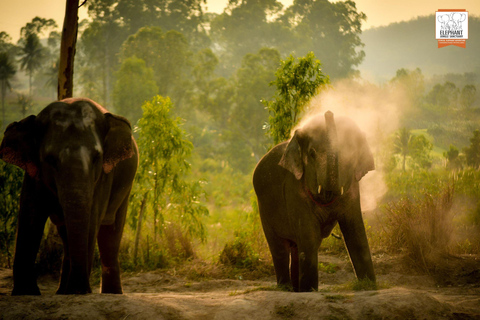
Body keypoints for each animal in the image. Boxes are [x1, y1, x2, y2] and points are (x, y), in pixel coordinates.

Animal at [0, 97, 139, 296]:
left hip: (125, 188)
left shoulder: (103, 177)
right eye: (49, 159)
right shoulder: (33, 174)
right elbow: (30, 215)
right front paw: (25, 292)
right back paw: (62, 292)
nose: (80, 288)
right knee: (66, 235)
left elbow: (92, 219)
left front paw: (79, 290)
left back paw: (110, 293)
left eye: (96, 158)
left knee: (110, 234)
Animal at [253, 110, 376, 292]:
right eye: (312, 154)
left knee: (297, 247)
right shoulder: (294, 189)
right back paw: (287, 288)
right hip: (264, 210)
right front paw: (309, 290)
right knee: (280, 248)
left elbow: (356, 234)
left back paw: (296, 290)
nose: (329, 112)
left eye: (350, 154)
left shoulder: (353, 189)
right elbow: (309, 237)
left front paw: (370, 286)